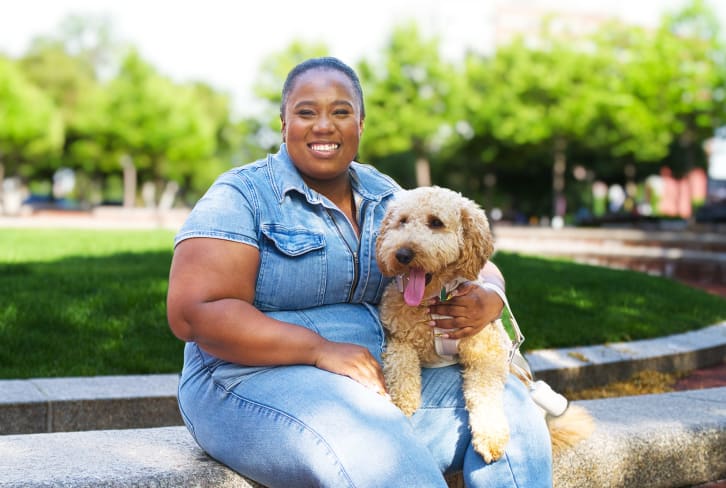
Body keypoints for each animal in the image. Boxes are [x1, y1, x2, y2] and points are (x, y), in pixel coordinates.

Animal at [378, 185, 596, 464]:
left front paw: (490, 437)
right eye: (402, 221)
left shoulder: (486, 356)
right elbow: (401, 366)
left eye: (436, 222)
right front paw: (404, 400)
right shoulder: (398, 339)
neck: (434, 300)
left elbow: (485, 395)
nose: (402, 254)